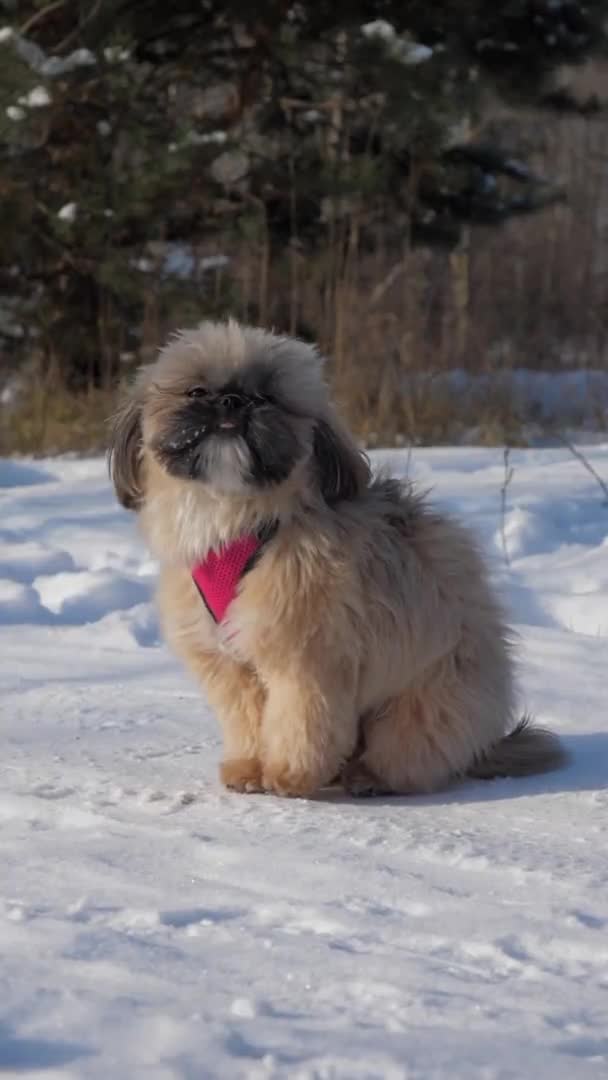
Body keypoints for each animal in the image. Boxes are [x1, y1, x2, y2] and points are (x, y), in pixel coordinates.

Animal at [107, 317, 565, 794]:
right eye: (196, 392)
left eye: (267, 397)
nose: (232, 401)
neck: (238, 518)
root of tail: (482, 745)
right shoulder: (229, 662)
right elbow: (248, 717)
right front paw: (249, 767)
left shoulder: (308, 653)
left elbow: (301, 720)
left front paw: (289, 775)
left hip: (424, 702)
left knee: (409, 755)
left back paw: (367, 777)